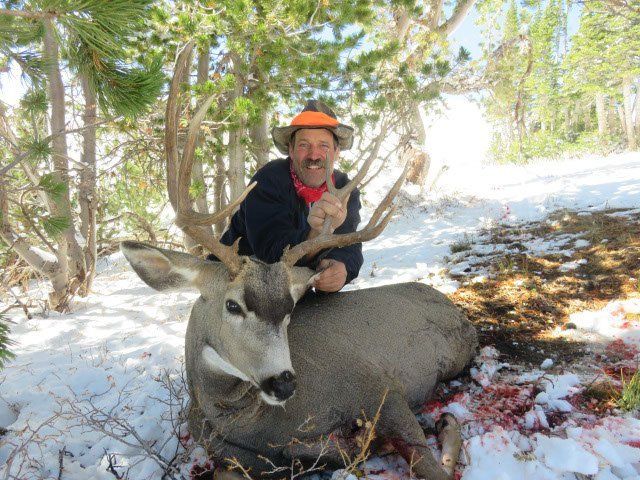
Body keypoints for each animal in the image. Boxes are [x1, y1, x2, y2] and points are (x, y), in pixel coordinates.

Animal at [120, 42, 478, 480]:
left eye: (291, 309)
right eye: (232, 305)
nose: (285, 383)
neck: (248, 418)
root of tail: (450, 304)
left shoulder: (379, 386)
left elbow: (428, 465)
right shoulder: (239, 455)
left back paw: (447, 421)